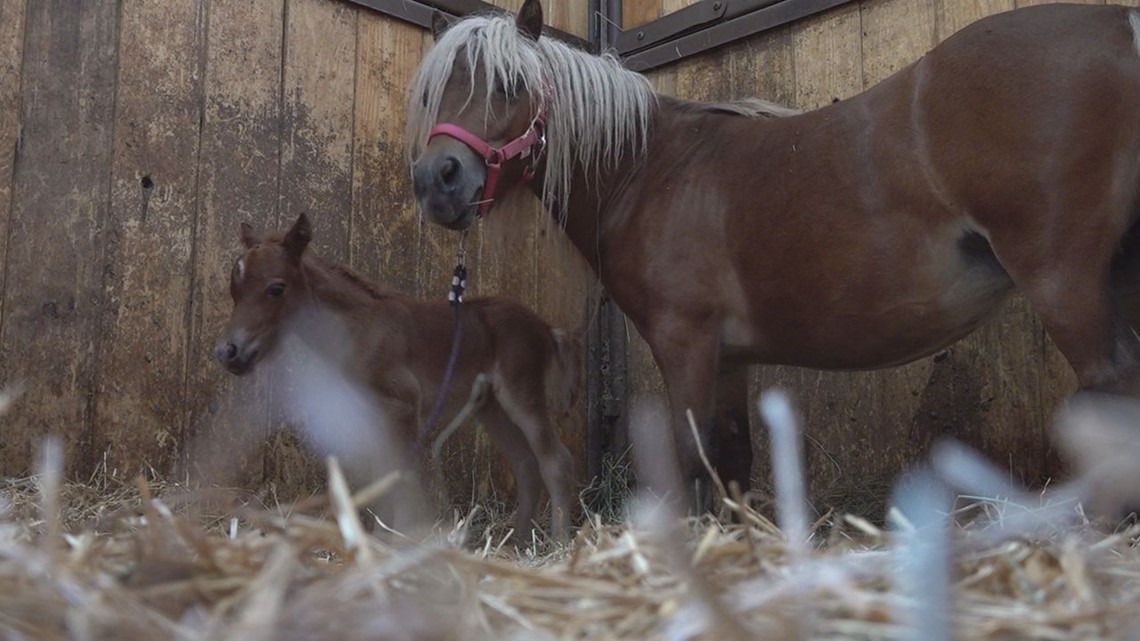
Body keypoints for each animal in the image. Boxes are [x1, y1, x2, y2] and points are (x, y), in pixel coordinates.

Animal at [215, 211, 579, 533]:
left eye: (276, 288)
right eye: (234, 290)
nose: (228, 352)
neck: (357, 331)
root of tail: (546, 328)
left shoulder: (402, 406)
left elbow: (400, 477)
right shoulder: (368, 413)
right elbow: (381, 478)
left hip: (521, 393)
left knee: (556, 461)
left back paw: (558, 543)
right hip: (491, 407)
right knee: (526, 464)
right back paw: (516, 543)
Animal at [408, 1, 1140, 504]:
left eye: (510, 85)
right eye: (434, 93)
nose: (437, 181)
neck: (651, 172)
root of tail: (1118, 26)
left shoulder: (685, 341)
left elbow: (695, 457)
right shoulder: (730, 357)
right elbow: (734, 461)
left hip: (1064, 281)